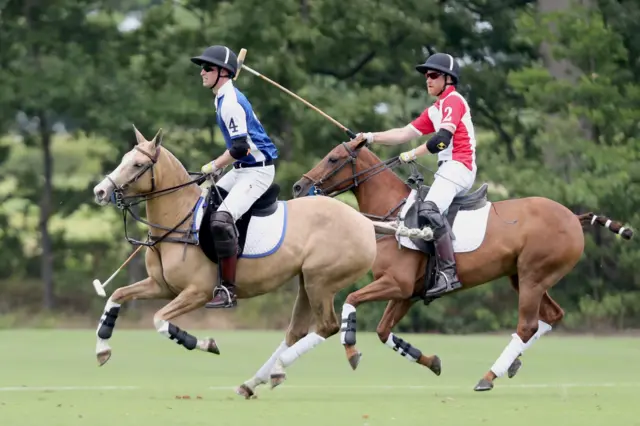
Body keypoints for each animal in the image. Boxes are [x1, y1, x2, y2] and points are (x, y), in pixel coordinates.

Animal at [92, 125, 378, 396]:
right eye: (124, 159)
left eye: (138, 165)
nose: (100, 191)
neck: (179, 221)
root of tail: (365, 222)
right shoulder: (160, 286)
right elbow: (116, 295)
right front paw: (102, 350)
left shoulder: (198, 292)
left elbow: (160, 321)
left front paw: (207, 343)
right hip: (306, 280)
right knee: (296, 331)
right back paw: (253, 382)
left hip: (322, 281)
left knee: (327, 326)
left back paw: (277, 370)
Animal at [292, 135, 632, 392]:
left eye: (334, 158)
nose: (298, 187)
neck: (393, 216)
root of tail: (573, 217)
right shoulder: (407, 293)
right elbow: (383, 331)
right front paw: (431, 361)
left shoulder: (396, 283)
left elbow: (351, 300)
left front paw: (351, 348)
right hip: (522, 276)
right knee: (552, 315)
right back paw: (512, 363)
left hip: (533, 275)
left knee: (528, 325)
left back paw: (488, 376)